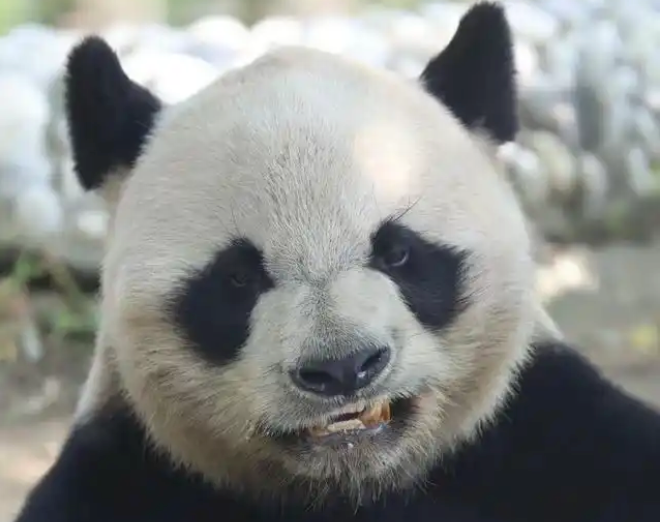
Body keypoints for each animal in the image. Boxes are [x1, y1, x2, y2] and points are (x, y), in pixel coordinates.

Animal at [13, 3, 660, 522]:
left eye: (399, 252)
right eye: (237, 277)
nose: (344, 368)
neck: (352, 484)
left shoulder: (549, 435)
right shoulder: (126, 469)